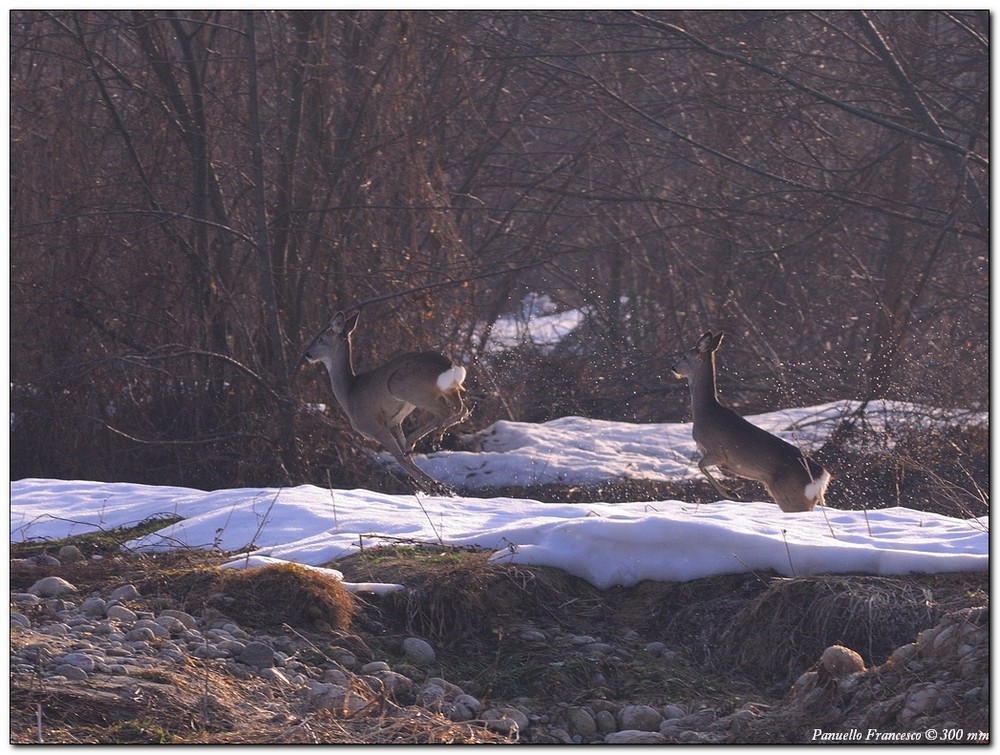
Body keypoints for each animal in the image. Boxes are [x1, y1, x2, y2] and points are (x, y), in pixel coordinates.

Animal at [302, 310, 470, 494]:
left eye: (321, 339)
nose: (307, 354)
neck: (349, 392)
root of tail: (448, 365)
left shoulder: (375, 426)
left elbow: (401, 460)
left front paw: (435, 488)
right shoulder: (395, 423)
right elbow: (408, 459)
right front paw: (438, 485)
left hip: (402, 385)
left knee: (446, 411)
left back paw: (425, 439)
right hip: (446, 389)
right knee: (462, 409)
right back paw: (425, 441)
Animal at [672, 334, 828, 516]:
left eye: (684, 356)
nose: (673, 367)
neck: (705, 411)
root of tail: (820, 478)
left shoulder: (717, 451)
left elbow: (700, 465)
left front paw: (731, 492)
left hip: (791, 497)